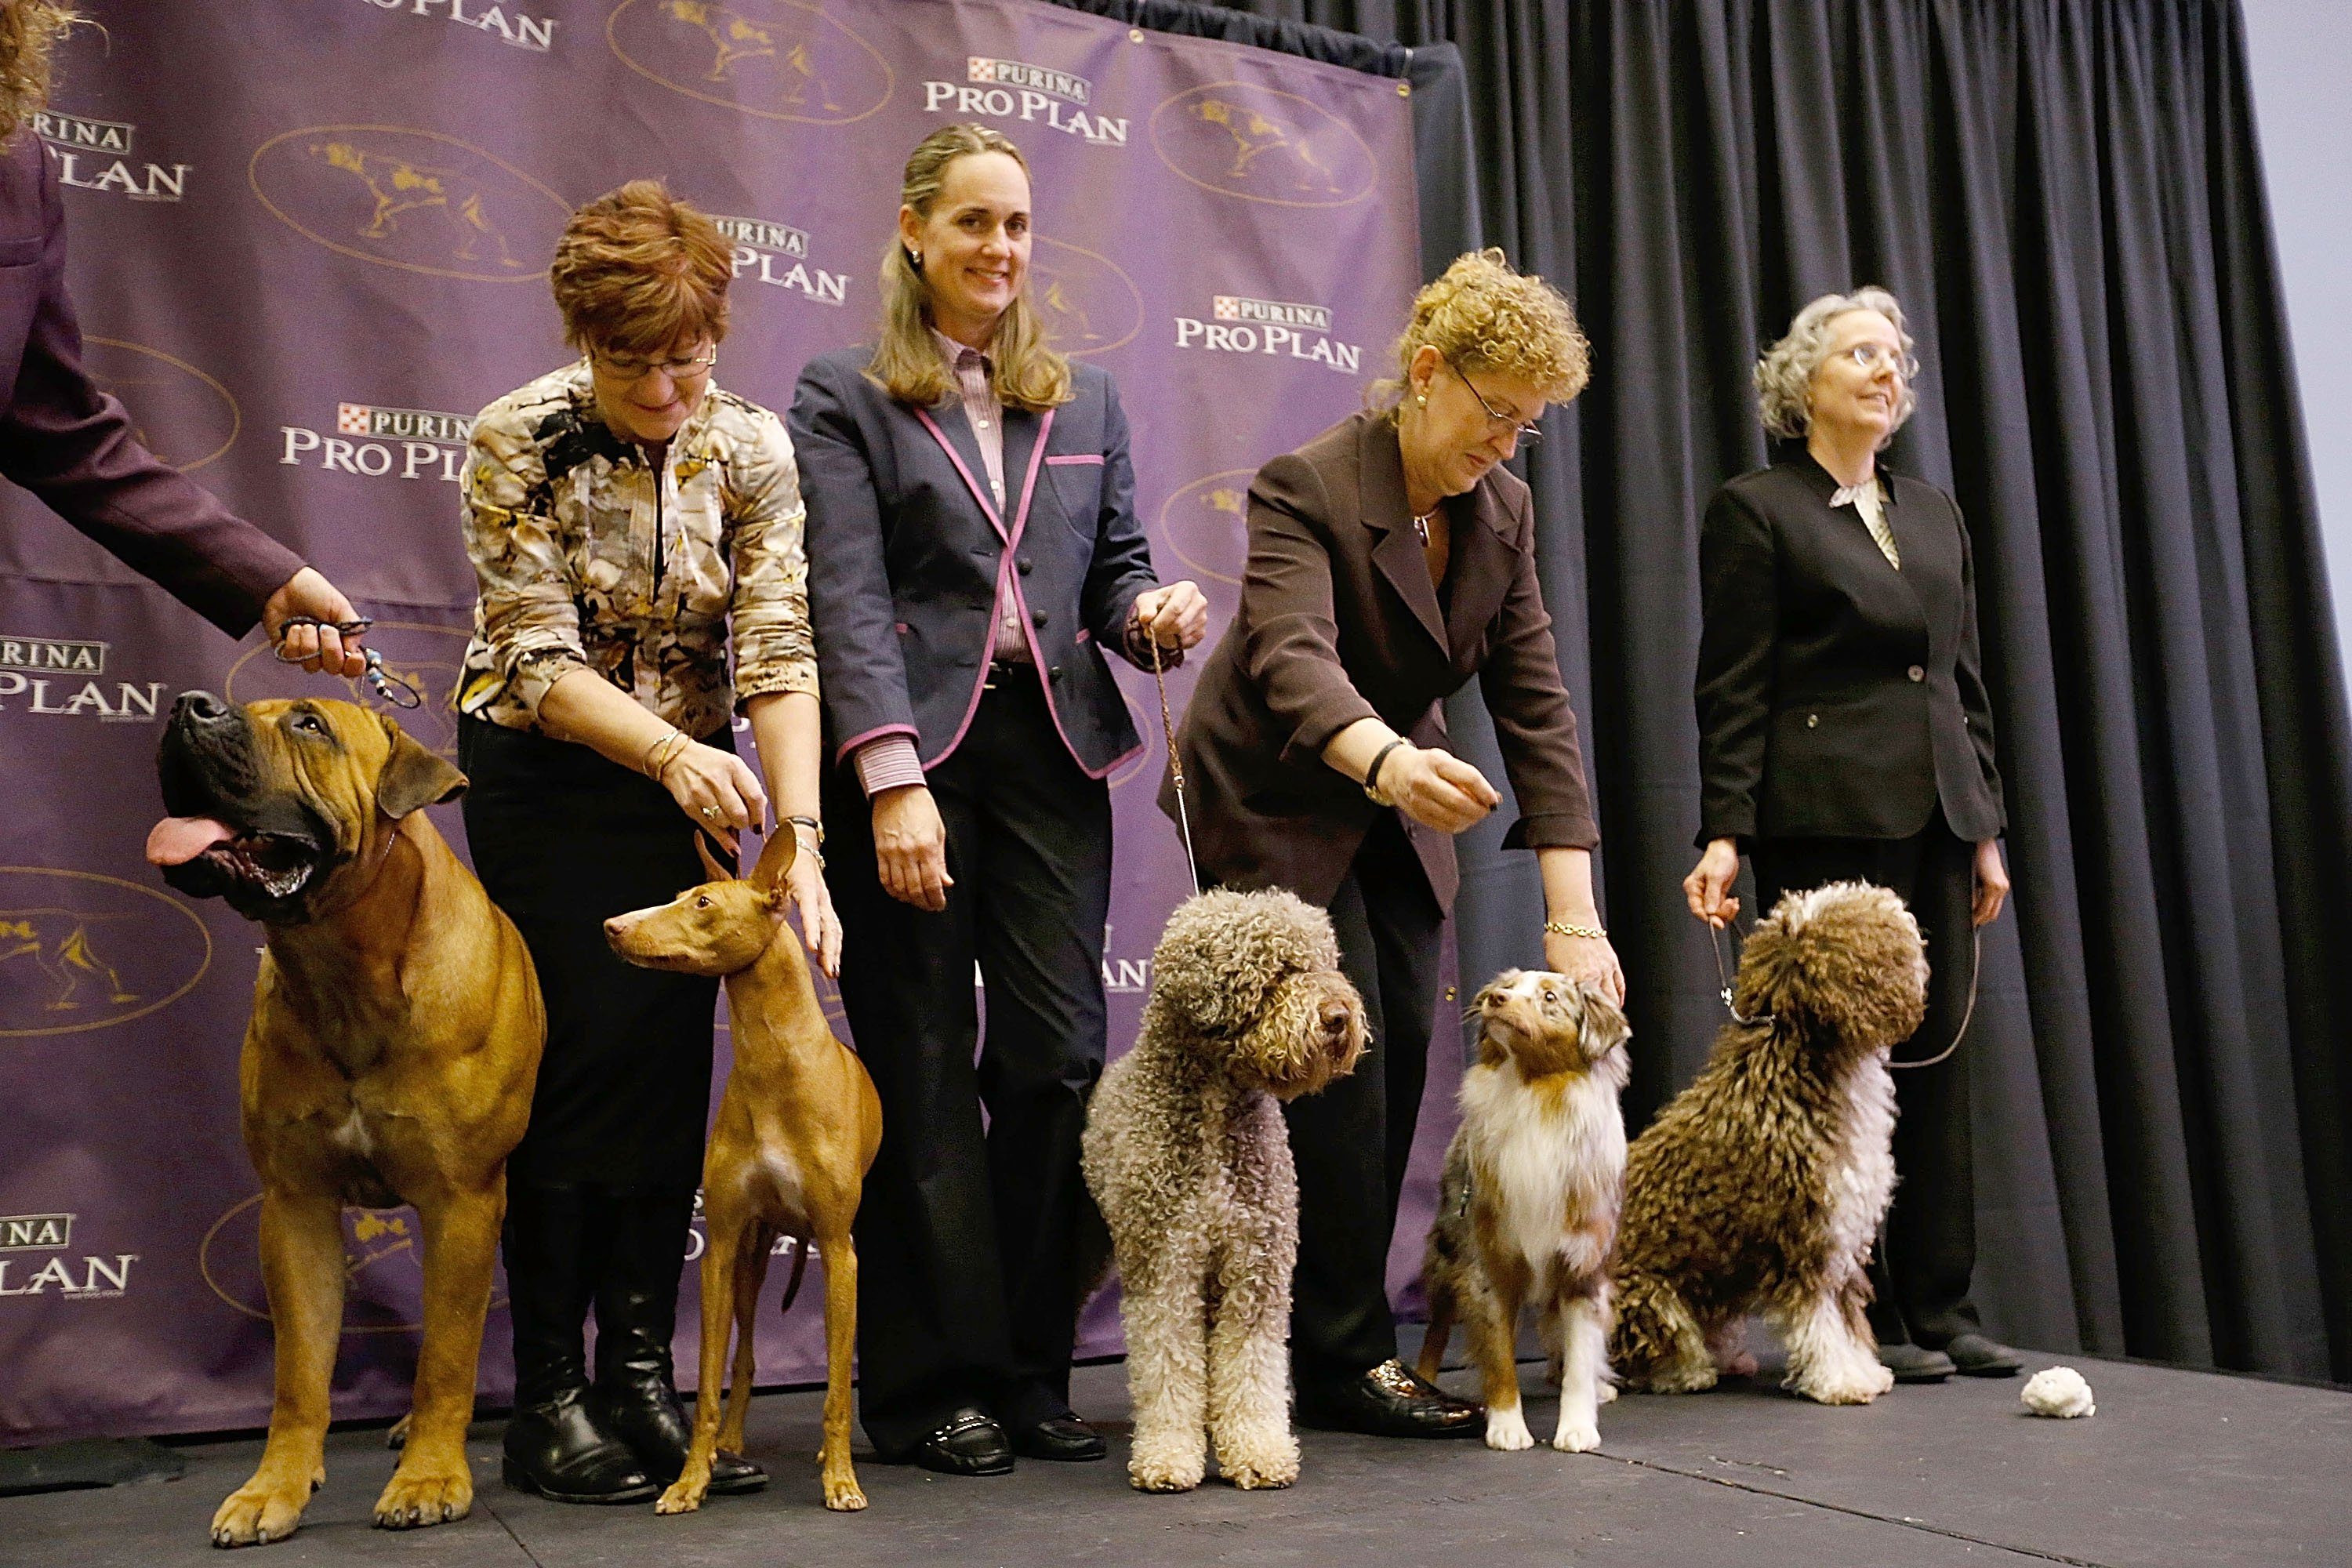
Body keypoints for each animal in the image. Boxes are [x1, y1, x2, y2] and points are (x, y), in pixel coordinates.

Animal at [1077, 888, 1364, 1495]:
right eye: (1279, 970)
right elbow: (1168, 1364)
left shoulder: (1256, 1265)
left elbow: (1250, 1366)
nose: (1339, 1017)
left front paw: (1257, 1451)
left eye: (1327, 963)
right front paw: (1167, 1456)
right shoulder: (1165, 1266)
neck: (1214, 1107)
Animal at [1618, 884, 1929, 1410]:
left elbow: (1846, 1316)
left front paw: (1865, 1370)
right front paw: (1838, 1380)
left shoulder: (1843, 1233)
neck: (1795, 1071)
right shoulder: (1804, 1235)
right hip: (1647, 1293)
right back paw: (1683, 1372)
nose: (1898, 906)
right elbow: (1819, 1321)